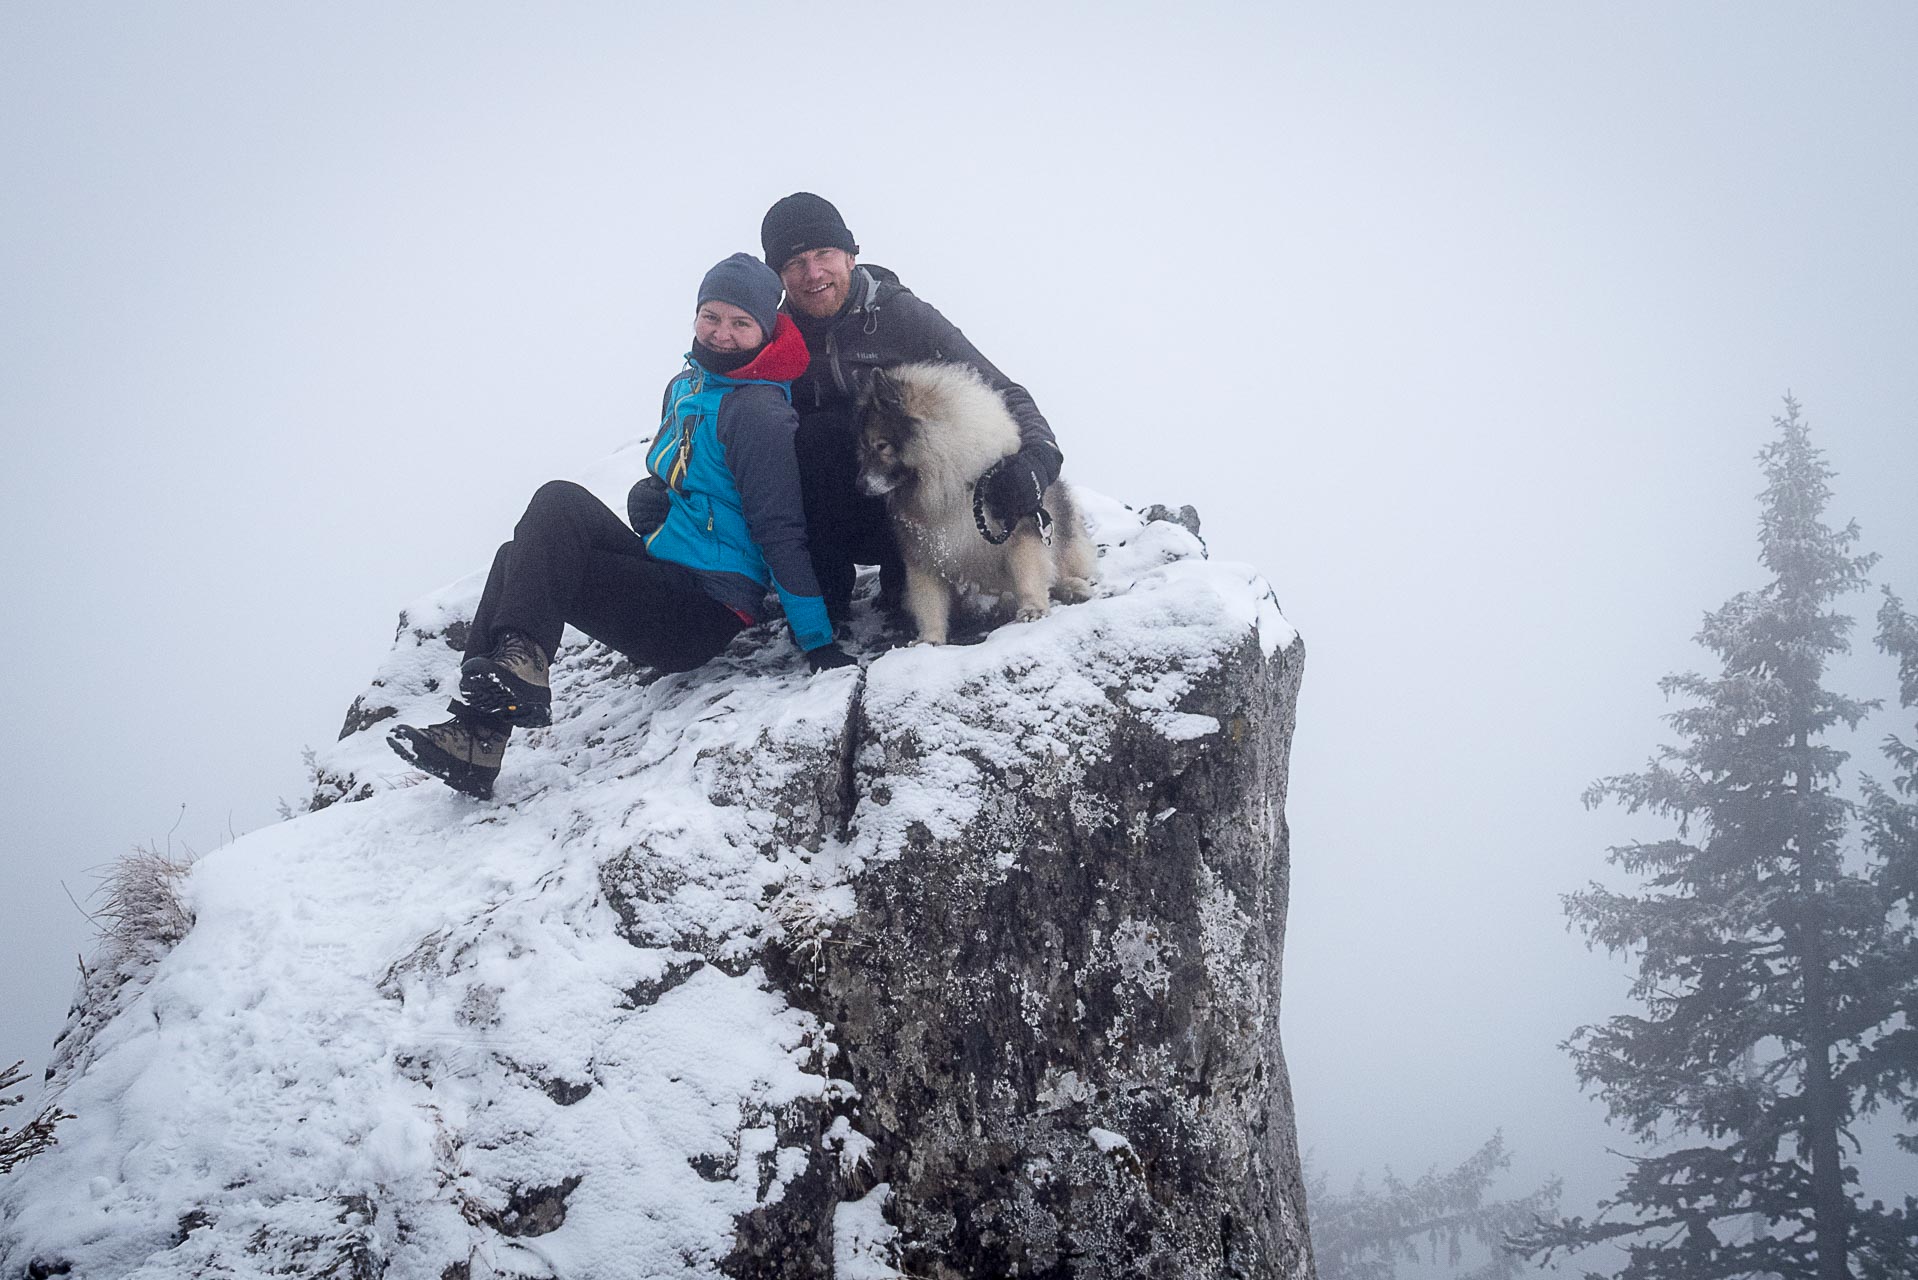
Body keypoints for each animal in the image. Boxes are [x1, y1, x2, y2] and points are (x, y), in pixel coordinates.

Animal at [855, 362, 1097, 644]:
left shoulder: (1020, 528)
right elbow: (928, 601)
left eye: (881, 445)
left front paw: (1032, 609)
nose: (859, 486)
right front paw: (929, 639)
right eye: (863, 447)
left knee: (1060, 570)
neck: (950, 488)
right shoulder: (922, 553)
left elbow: (1029, 573)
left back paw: (1074, 587)